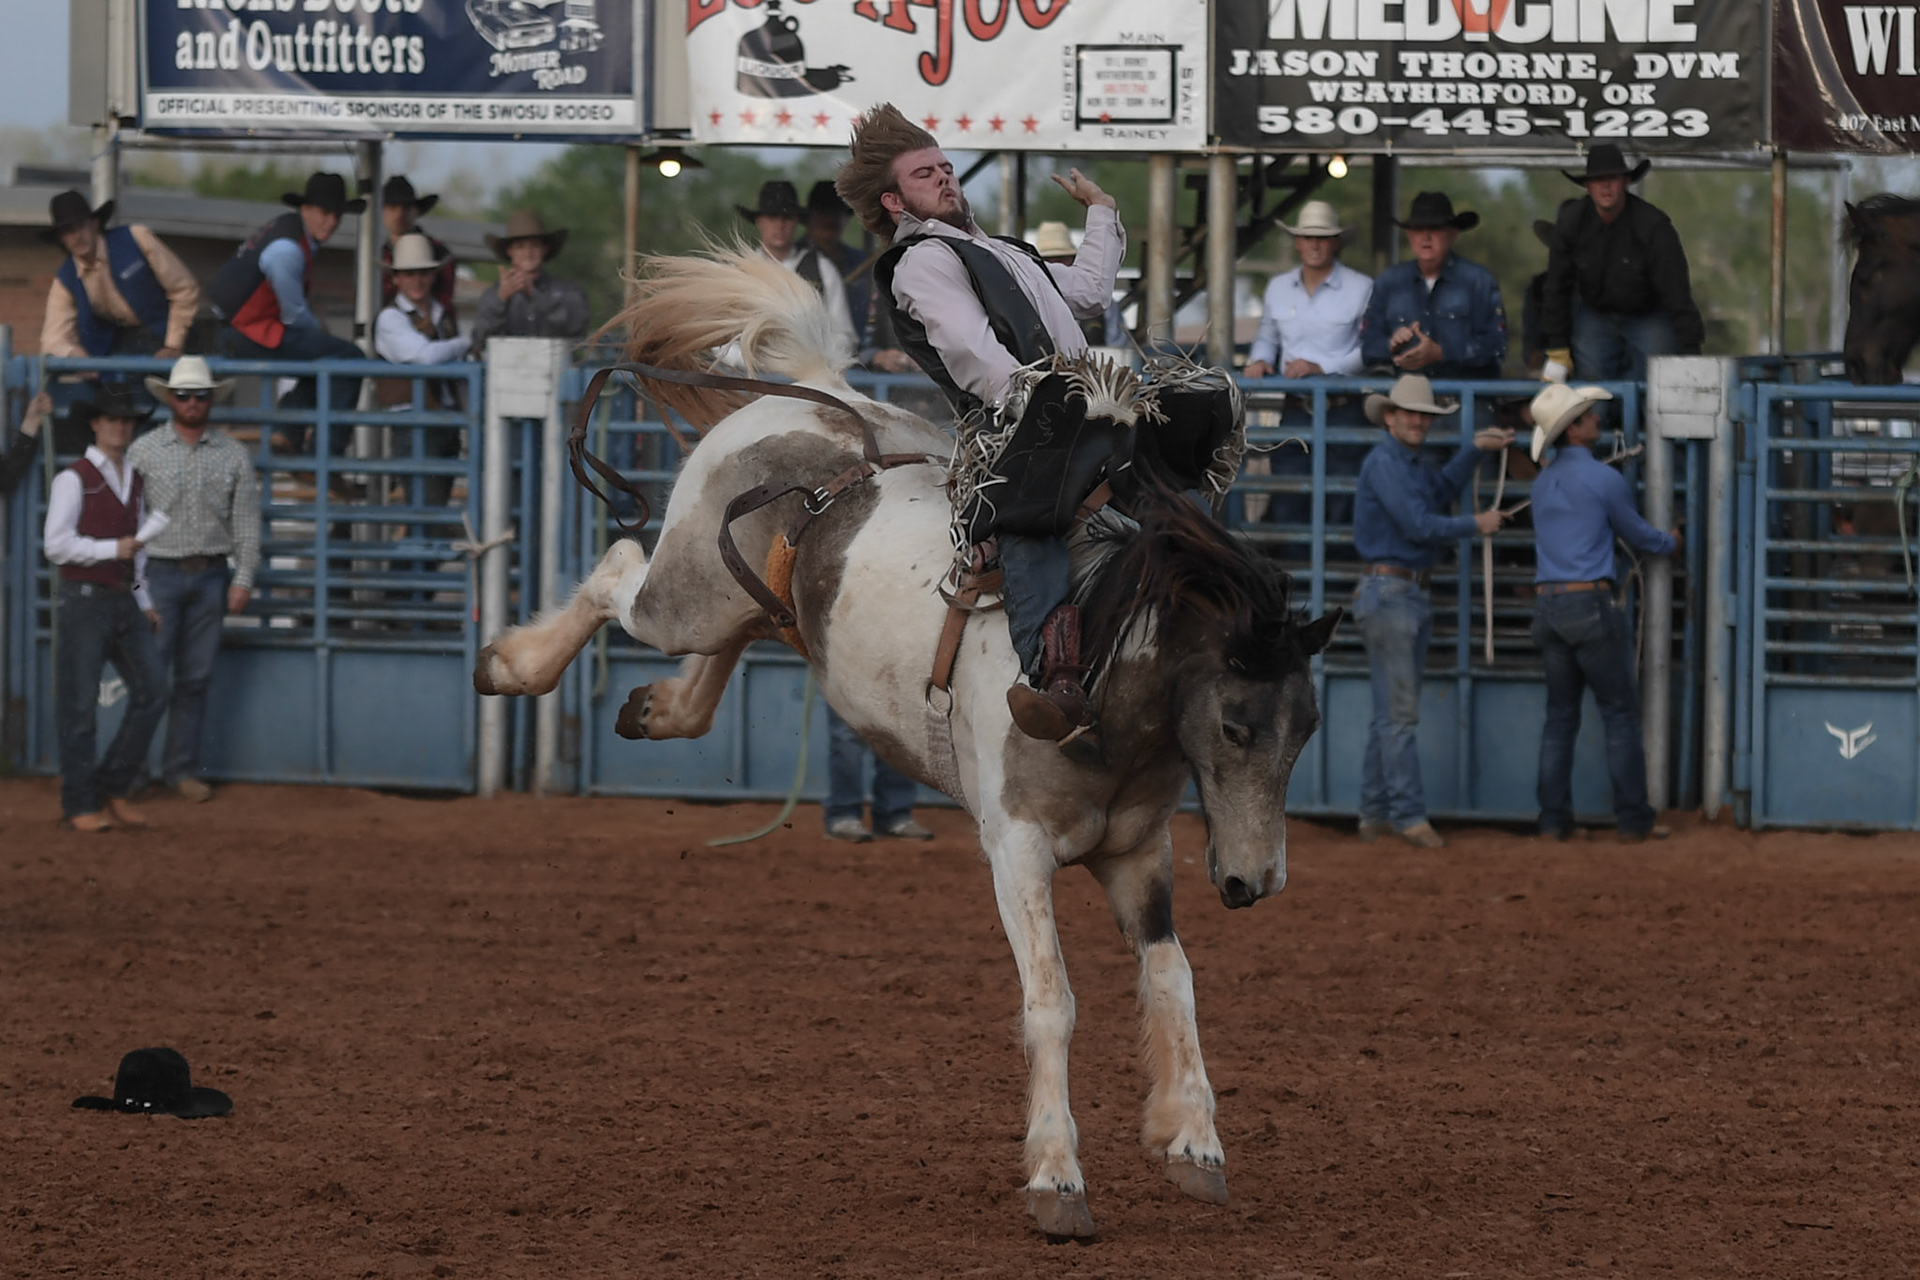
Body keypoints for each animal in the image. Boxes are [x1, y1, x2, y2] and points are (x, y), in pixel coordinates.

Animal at [472, 248, 1340, 1241]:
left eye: (1307, 729)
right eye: (1236, 725)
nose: (1253, 881)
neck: (1097, 668)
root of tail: (815, 395)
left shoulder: (1138, 854)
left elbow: (1174, 981)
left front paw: (1193, 1142)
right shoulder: (1018, 851)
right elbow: (1052, 1002)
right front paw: (1057, 1178)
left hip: (752, 606)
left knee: (723, 650)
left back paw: (657, 709)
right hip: (682, 592)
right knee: (618, 569)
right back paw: (511, 663)